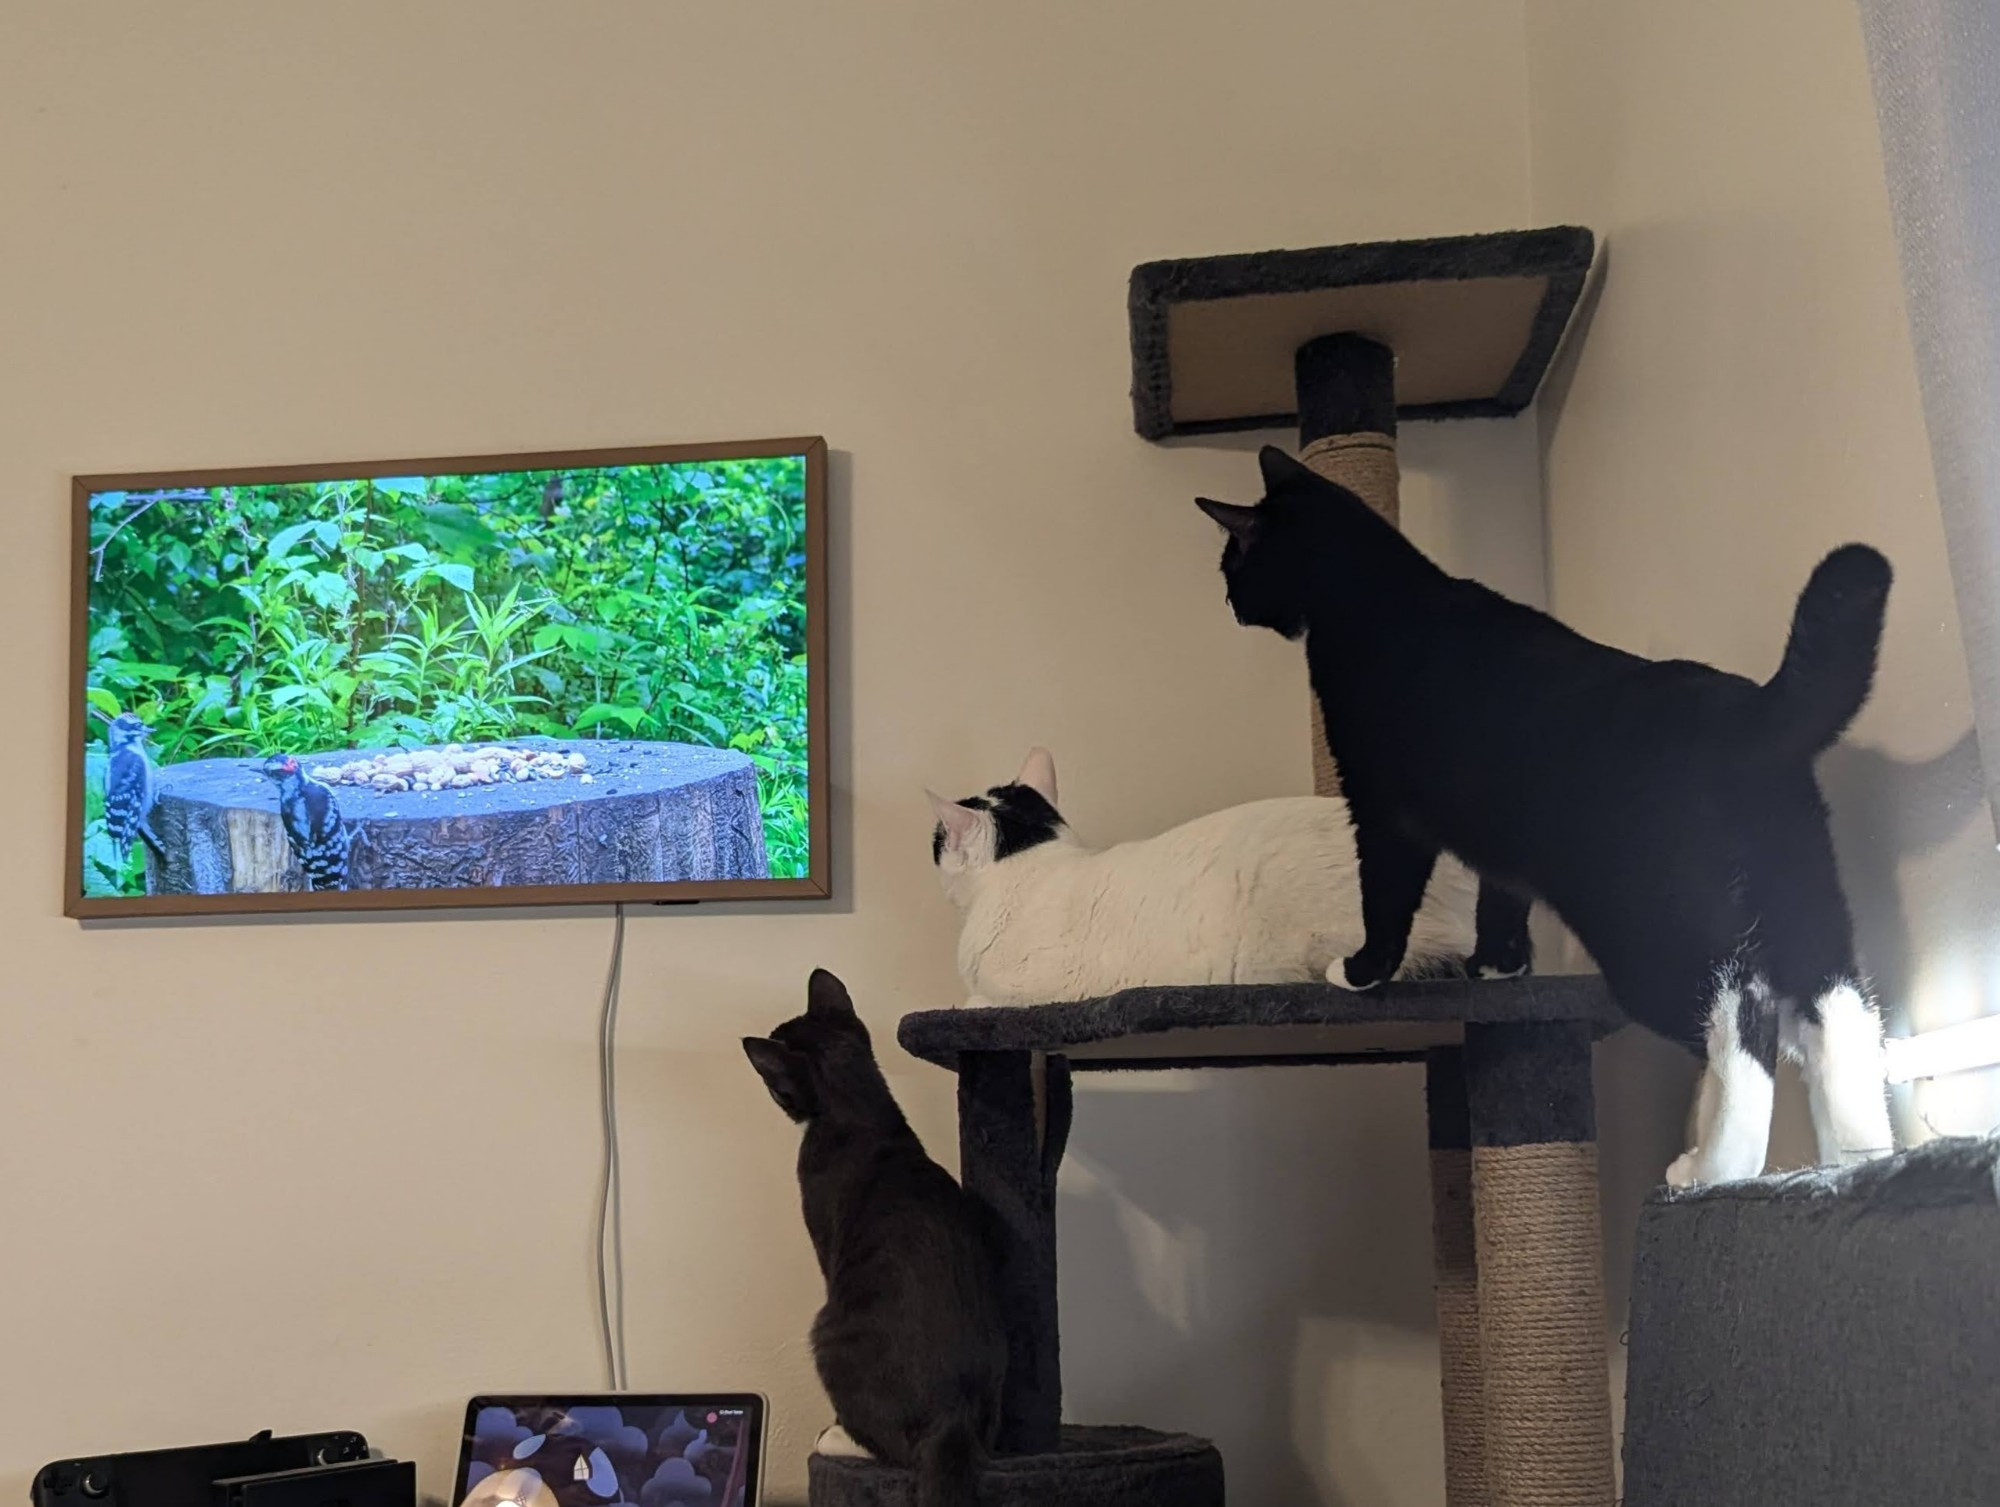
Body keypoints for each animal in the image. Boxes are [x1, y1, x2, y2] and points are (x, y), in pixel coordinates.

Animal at [748, 967, 1008, 1495]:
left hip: (827, 1331)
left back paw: (835, 1438)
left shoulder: (822, 1228)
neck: (860, 1111)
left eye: (774, 1083)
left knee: (887, 1446)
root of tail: (952, 1417)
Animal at [1192, 445, 1896, 1183]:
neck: (1375, 592)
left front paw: (1360, 972)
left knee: (1743, 1016)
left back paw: (1710, 1167)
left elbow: (1386, 900)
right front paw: (1497, 966)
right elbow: (1501, 895)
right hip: (1806, 899)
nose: (1228, 601)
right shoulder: (1498, 842)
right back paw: (1858, 1161)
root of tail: (1753, 712)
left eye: (1233, 562)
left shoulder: (1382, 812)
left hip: (1654, 929)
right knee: (1838, 1011)